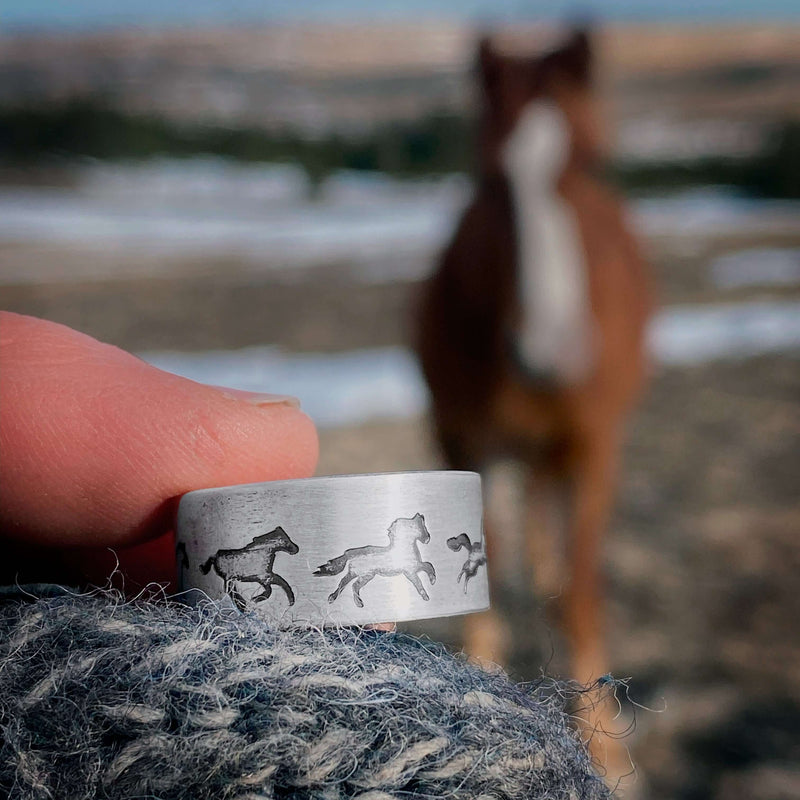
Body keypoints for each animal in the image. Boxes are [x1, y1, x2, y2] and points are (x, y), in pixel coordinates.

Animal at [415, 28, 652, 780]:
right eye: (491, 176)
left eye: (593, 162)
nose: (550, 350)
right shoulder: (463, 438)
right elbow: (479, 555)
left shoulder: (596, 445)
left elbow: (579, 591)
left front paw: (603, 748)